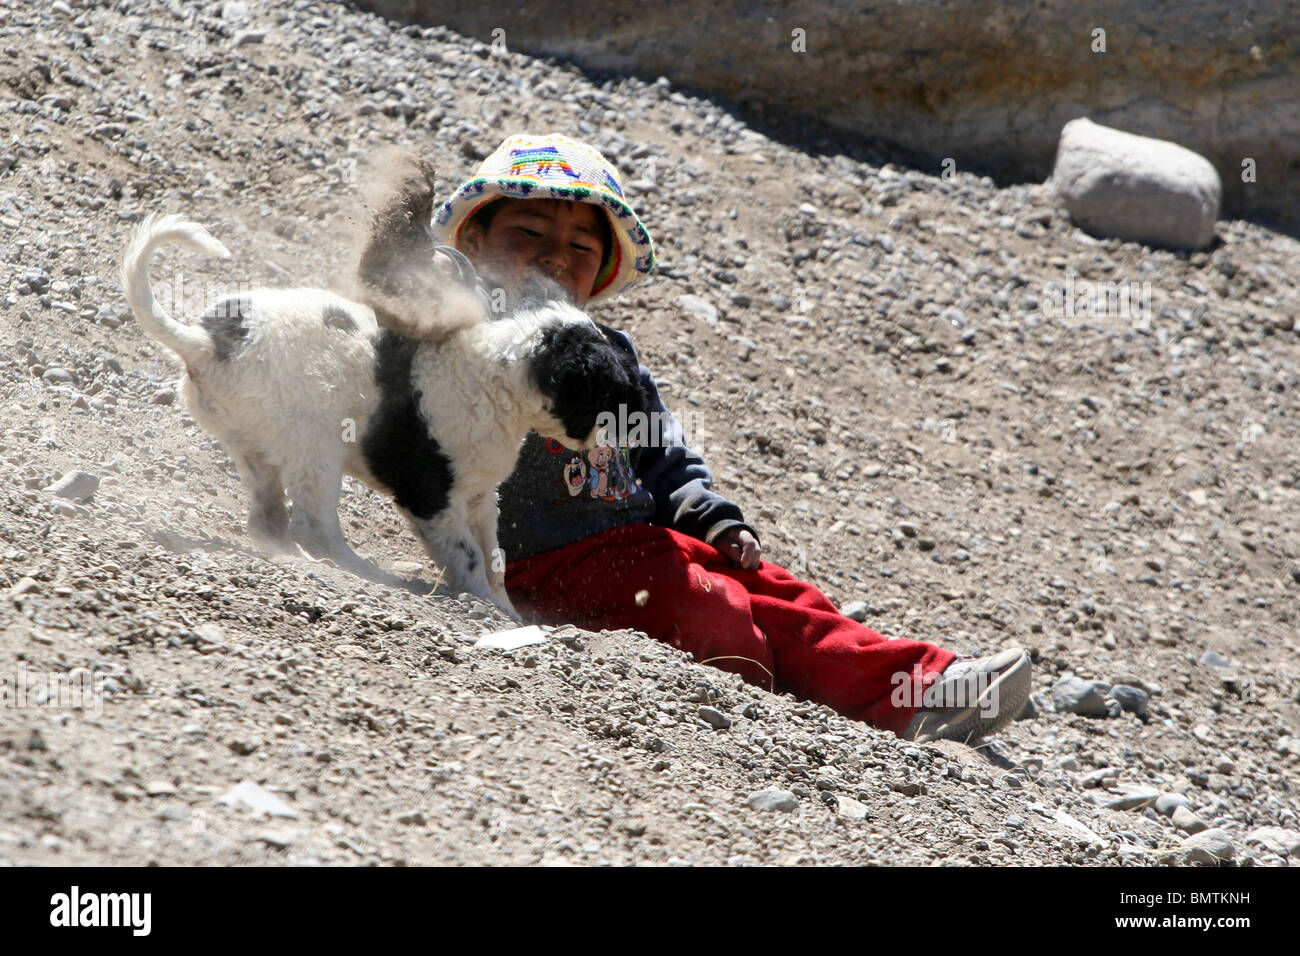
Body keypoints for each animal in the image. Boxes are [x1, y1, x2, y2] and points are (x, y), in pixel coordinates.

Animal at [120, 214, 644, 621]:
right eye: (609, 393)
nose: (617, 447)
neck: (495, 372)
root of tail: (205, 342)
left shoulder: (479, 496)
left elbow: (494, 559)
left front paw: (508, 611)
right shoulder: (433, 495)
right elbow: (470, 559)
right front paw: (485, 608)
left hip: (254, 446)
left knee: (268, 520)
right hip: (316, 449)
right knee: (315, 527)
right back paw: (364, 571)